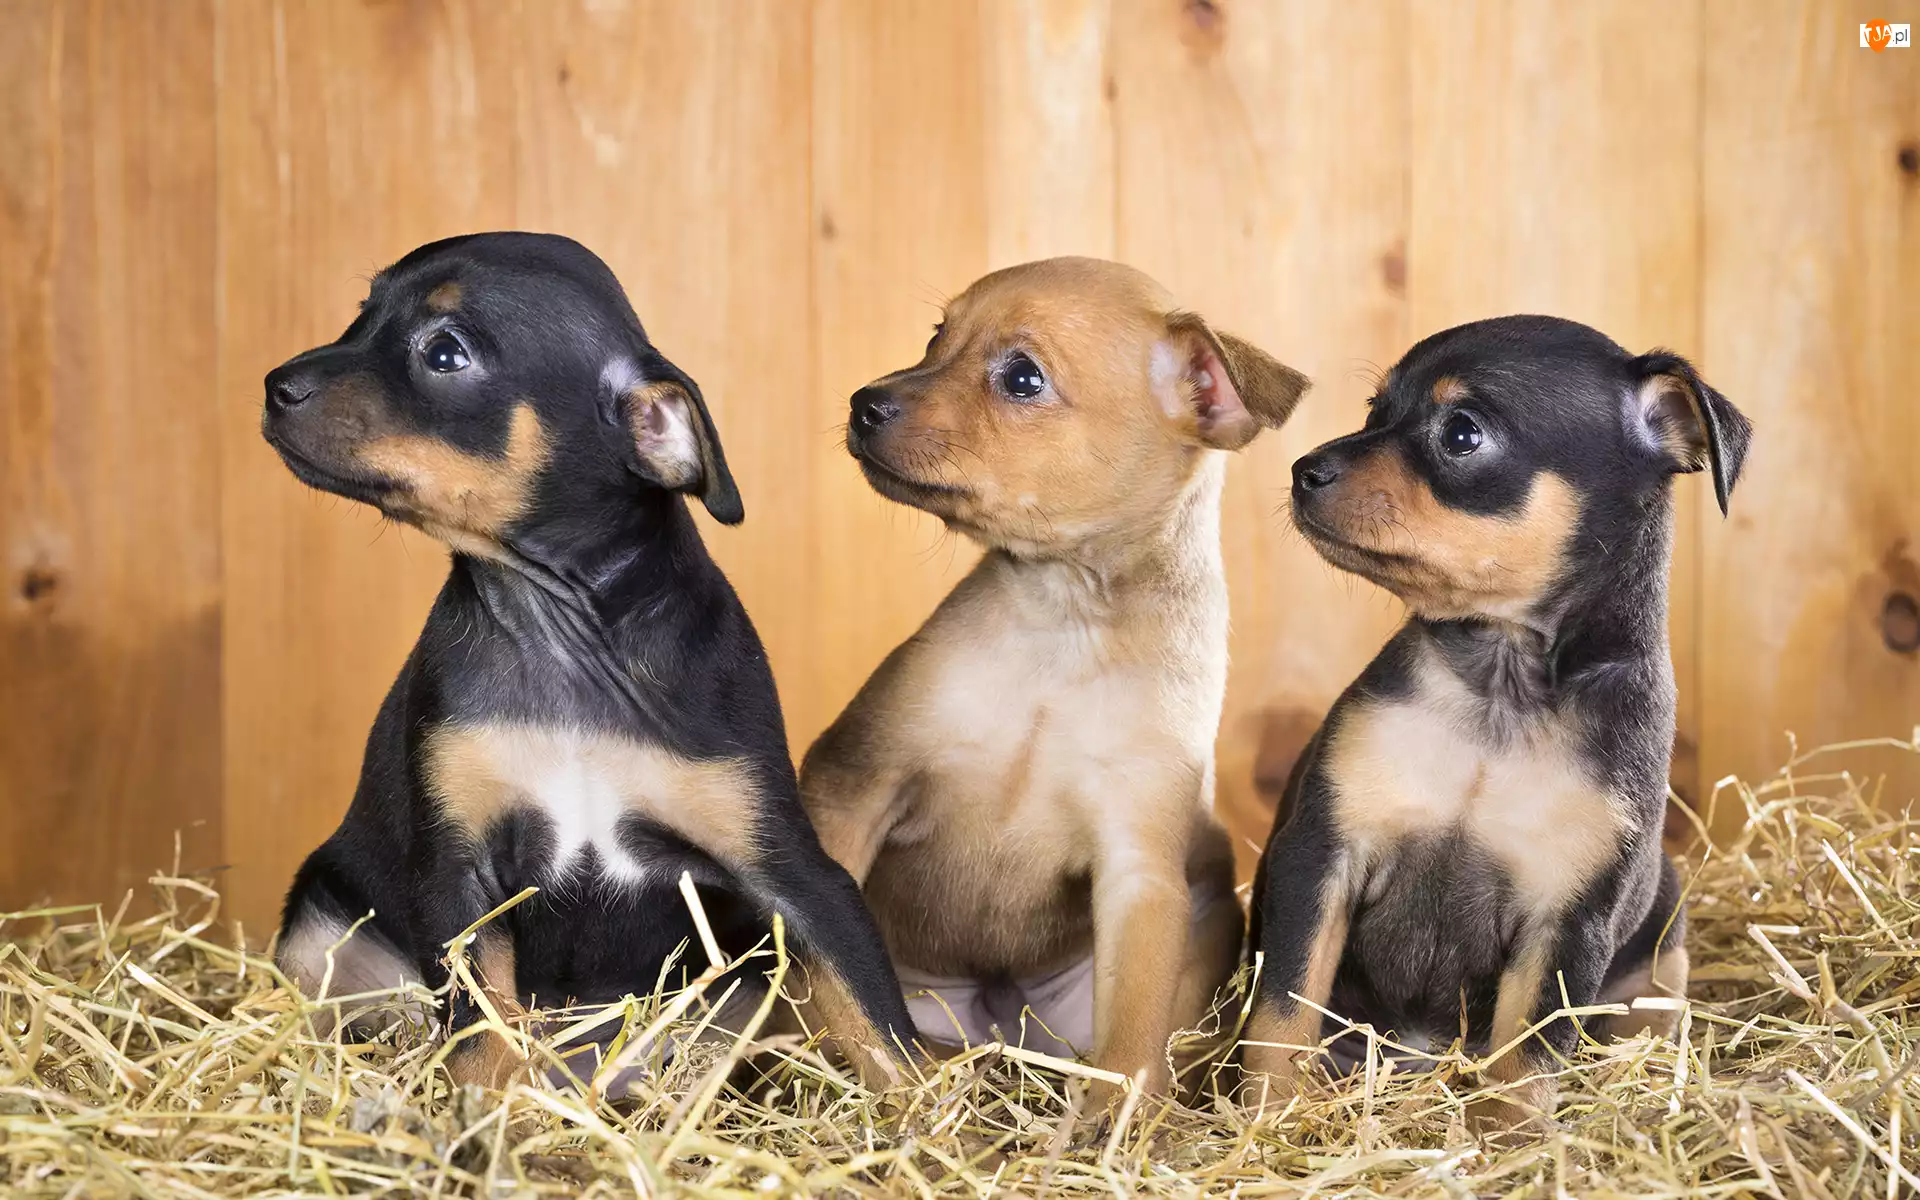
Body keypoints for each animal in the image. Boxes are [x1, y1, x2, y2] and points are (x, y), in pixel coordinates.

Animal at [264, 232, 917, 1091]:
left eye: (445, 352)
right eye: (361, 314)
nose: (274, 385)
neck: (563, 632)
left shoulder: (795, 873)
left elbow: (881, 1027)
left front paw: (938, 1120)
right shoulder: (458, 878)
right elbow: (480, 1038)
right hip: (319, 924)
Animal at [799, 257, 1310, 1099]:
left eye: (1022, 379)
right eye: (936, 337)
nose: (862, 404)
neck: (1066, 624)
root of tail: (998, 1019)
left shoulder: (1139, 873)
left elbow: (1132, 1048)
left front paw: (1115, 1124)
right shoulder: (850, 786)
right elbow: (841, 981)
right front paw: (896, 1085)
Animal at [1245, 316, 1751, 1125]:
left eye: (1461, 434)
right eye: (1374, 411)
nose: (1303, 470)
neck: (1501, 689)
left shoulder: (1567, 923)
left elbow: (1525, 1062)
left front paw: (1514, 1141)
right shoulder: (1321, 856)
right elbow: (1283, 1012)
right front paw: (1265, 1113)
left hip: (1665, 927)